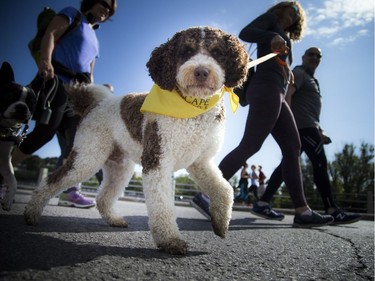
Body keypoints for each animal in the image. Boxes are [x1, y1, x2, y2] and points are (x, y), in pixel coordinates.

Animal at [24, 26, 250, 254]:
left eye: (217, 53)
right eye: (186, 51)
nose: (201, 72)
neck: (192, 108)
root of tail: (95, 104)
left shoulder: (201, 162)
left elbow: (224, 190)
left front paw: (220, 224)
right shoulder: (157, 161)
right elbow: (162, 205)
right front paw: (170, 240)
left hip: (120, 167)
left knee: (103, 196)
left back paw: (114, 220)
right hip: (87, 156)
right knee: (54, 180)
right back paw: (31, 213)